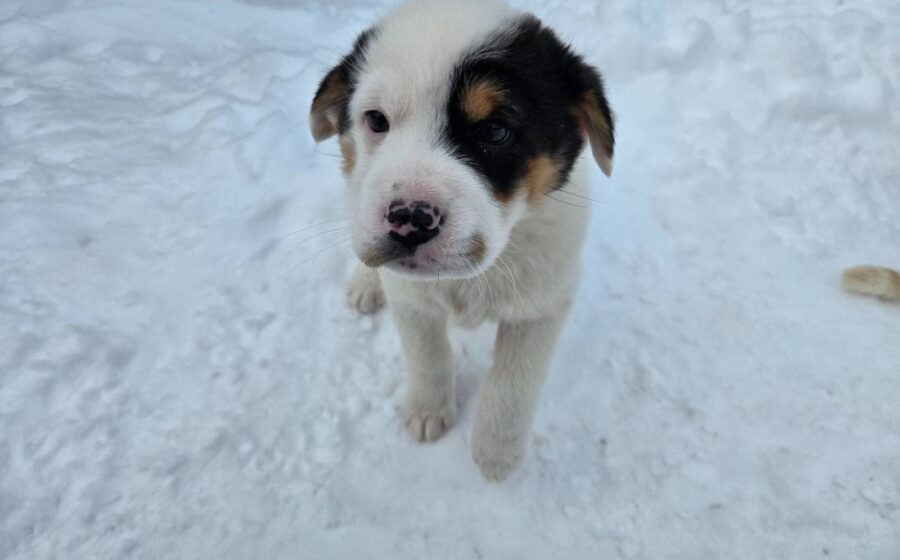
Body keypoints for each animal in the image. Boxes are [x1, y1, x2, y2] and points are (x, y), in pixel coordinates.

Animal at [309, 0, 615, 481]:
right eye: (376, 120)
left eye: (494, 131)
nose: (410, 220)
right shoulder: (411, 298)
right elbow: (428, 355)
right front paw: (428, 410)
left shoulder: (543, 307)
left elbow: (514, 383)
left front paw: (496, 452)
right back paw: (364, 281)